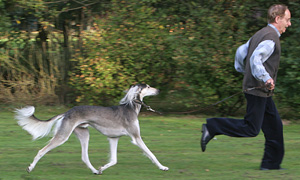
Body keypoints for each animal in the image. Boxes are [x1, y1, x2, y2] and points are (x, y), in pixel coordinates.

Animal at [15, 84, 169, 174]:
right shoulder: (136, 137)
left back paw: (95, 170)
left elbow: (114, 160)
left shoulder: (113, 138)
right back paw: (30, 168)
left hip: (84, 134)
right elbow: (151, 154)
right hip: (63, 135)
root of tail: (67, 111)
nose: (159, 90)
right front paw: (163, 167)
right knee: (41, 151)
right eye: (148, 86)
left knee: (84, 156)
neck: (130, 107)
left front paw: (101, 168)